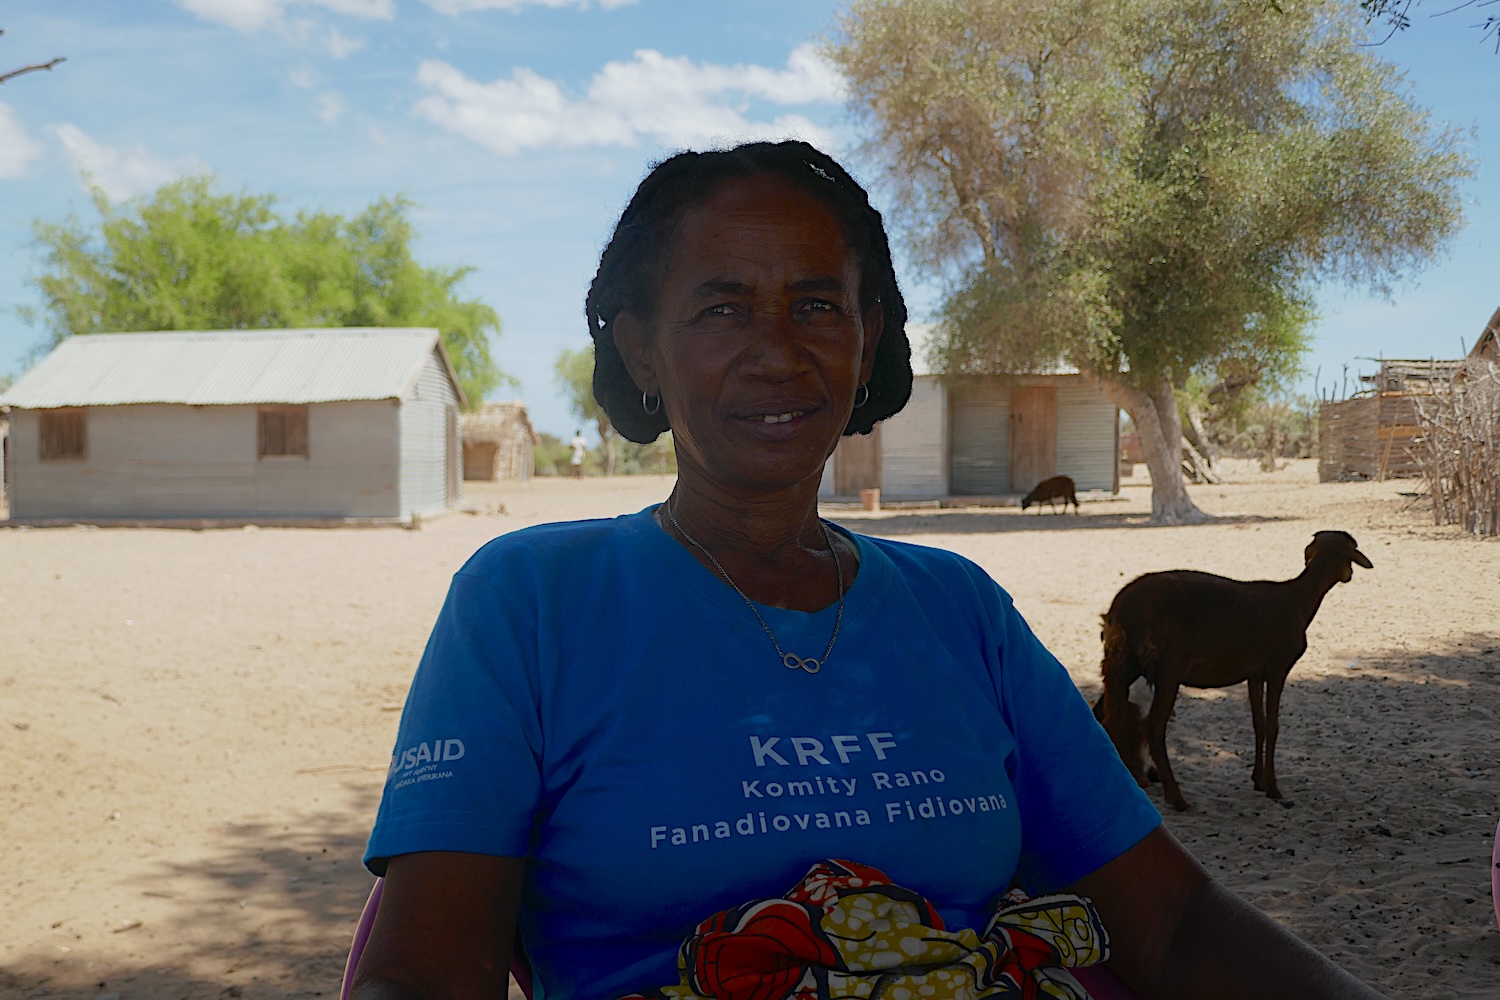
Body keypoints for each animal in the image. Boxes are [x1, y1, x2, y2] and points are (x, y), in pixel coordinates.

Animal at [1092, 530, 1374, 815]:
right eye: (1352, 553)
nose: (1350, 575)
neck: (1300, 601)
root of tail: (1119, 611)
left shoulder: (1254, 673)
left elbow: (1259, 724)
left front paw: (1258, 781)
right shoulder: (1278, 667)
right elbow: (1273, 726)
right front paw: (1274, 788)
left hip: (1122, 665)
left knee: (1111, 722)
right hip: (1168, 668)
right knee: (1152, 727)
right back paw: (1177, 798)